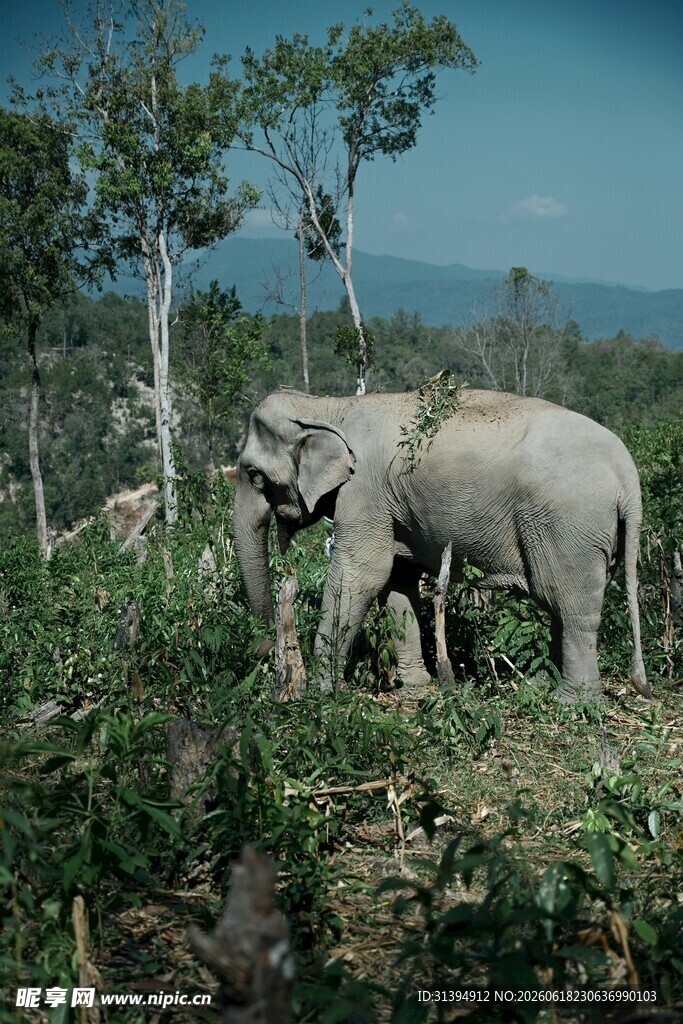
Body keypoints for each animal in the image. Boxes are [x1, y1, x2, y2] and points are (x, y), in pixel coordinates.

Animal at [233, 386, 650, 703]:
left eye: (253, 474)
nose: (260, 652)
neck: (327, 405)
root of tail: (628, 474)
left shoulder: (365, 490)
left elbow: (363, 574)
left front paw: (323, 694)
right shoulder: (392, 504)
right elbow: (397, 581)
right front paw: (415, 686)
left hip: (568, 525)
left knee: (567, 602)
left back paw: (572, 701)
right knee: (566, 604)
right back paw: (549, 684)